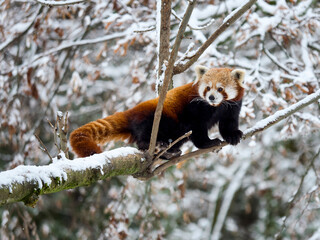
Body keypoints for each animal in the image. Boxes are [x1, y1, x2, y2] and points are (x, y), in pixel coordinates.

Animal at [70, 65, 245, 158]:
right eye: (208, 88)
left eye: (220, 89)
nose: (211, 97)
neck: (215, 106)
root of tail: (131, 112)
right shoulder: (195, 107)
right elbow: (197, 129)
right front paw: (208, 142)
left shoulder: (232, 106)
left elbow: (228, 123)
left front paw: (232, 135)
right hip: (155, 118)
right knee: (146, 133)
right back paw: (151, 145)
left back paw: (171, 151)